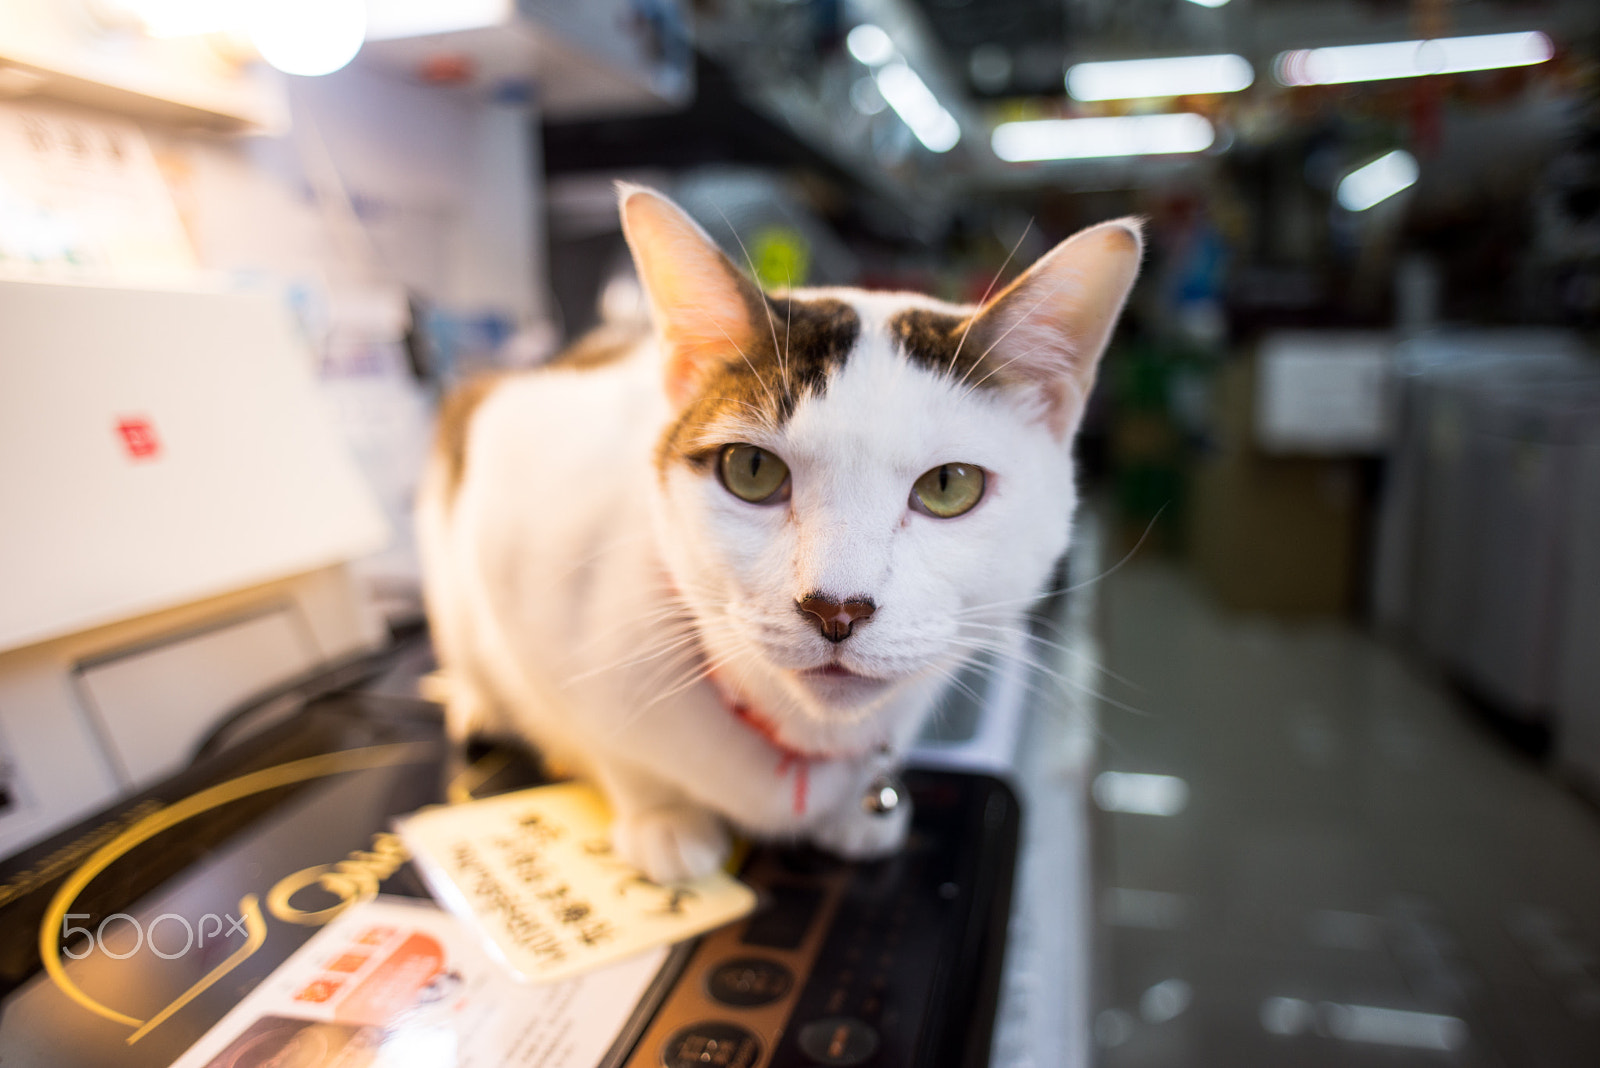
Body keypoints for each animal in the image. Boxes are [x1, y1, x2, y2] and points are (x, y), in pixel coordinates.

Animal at [412, 185, 1139, 882]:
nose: (836, 609)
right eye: (752, 471)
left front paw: (855, 813)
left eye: (947, 485)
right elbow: (608, 743)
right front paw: (661, 814)